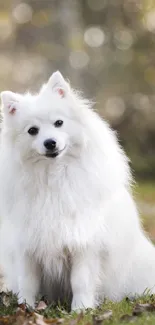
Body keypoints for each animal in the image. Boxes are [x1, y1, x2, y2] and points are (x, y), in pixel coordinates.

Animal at [0, 71, 155, 312]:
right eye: (32, 131)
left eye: (59, 123)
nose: (50, 142)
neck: (54, 177)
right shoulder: (28, 245)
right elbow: (28, 282)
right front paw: (25, 307)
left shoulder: (84, 244)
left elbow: (80, 281)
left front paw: (81, 309)